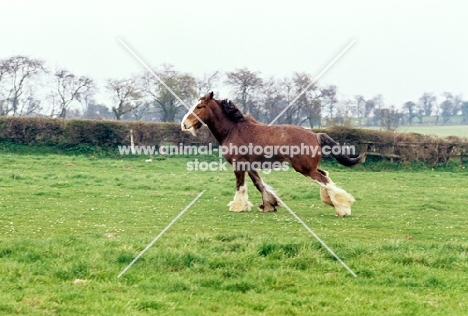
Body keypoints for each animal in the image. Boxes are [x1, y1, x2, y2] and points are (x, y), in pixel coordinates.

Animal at [181, 91, 364, 217]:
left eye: (199, 107)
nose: (184, 124)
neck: (233, 129)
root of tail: (315, 135)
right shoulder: (250, 165)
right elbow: (259, 184)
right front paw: (269, 205)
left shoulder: (238, 164)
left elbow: (240, 185)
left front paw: (237, 206)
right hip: (309, 167)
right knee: (325, 176)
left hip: (304, 168)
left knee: (324, 181)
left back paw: (342, 208)